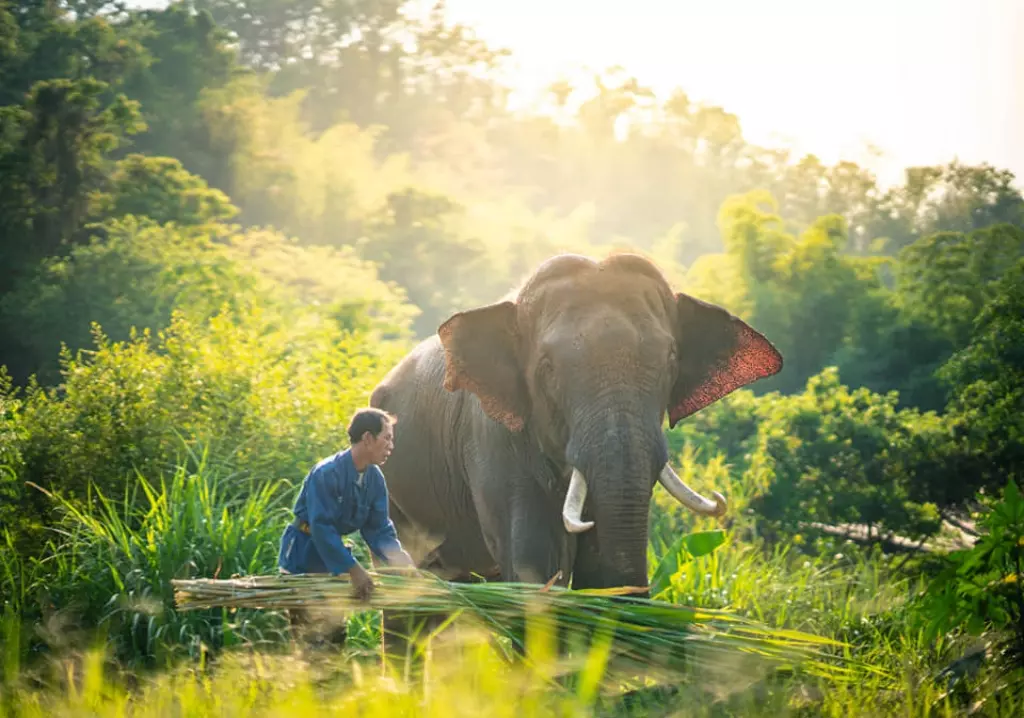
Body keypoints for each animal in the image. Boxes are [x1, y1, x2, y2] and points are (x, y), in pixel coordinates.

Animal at [372, 252, 778, 594]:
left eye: (671, 359)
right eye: (547, 367)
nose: (719, 497)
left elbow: (598, 572)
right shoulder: (491, 438)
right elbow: (534, 560)